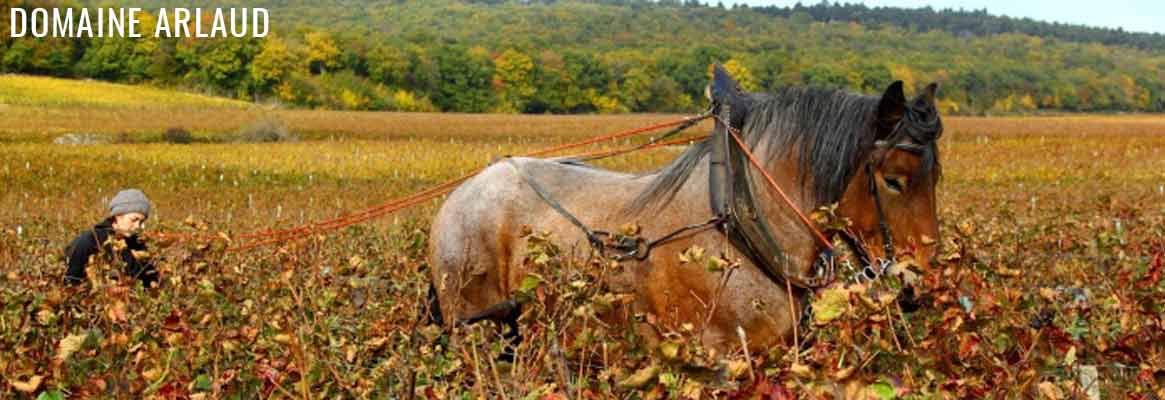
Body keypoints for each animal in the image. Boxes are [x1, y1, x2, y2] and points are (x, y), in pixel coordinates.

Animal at [428, 65, 945, 354]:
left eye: (935, 178)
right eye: (893, 180)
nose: (920, 284)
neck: (743, 230)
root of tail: (462, 193)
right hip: (471, 324)